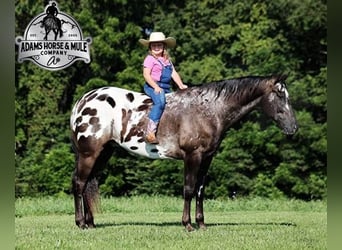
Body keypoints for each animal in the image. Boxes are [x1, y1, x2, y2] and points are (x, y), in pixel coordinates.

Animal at [71, 74, 298, 230]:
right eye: (279, 94)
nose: (294, 128)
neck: (209, 110)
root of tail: (82, 102)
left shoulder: (207, 158)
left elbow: (200, 190)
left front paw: (201, 224)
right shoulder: (192, 156)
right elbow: (188, 189)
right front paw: (187, 224)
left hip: (103, 153)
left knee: (88, 183)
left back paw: (91, 223)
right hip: (89, 154)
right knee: (79, 183)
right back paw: (80, 223)